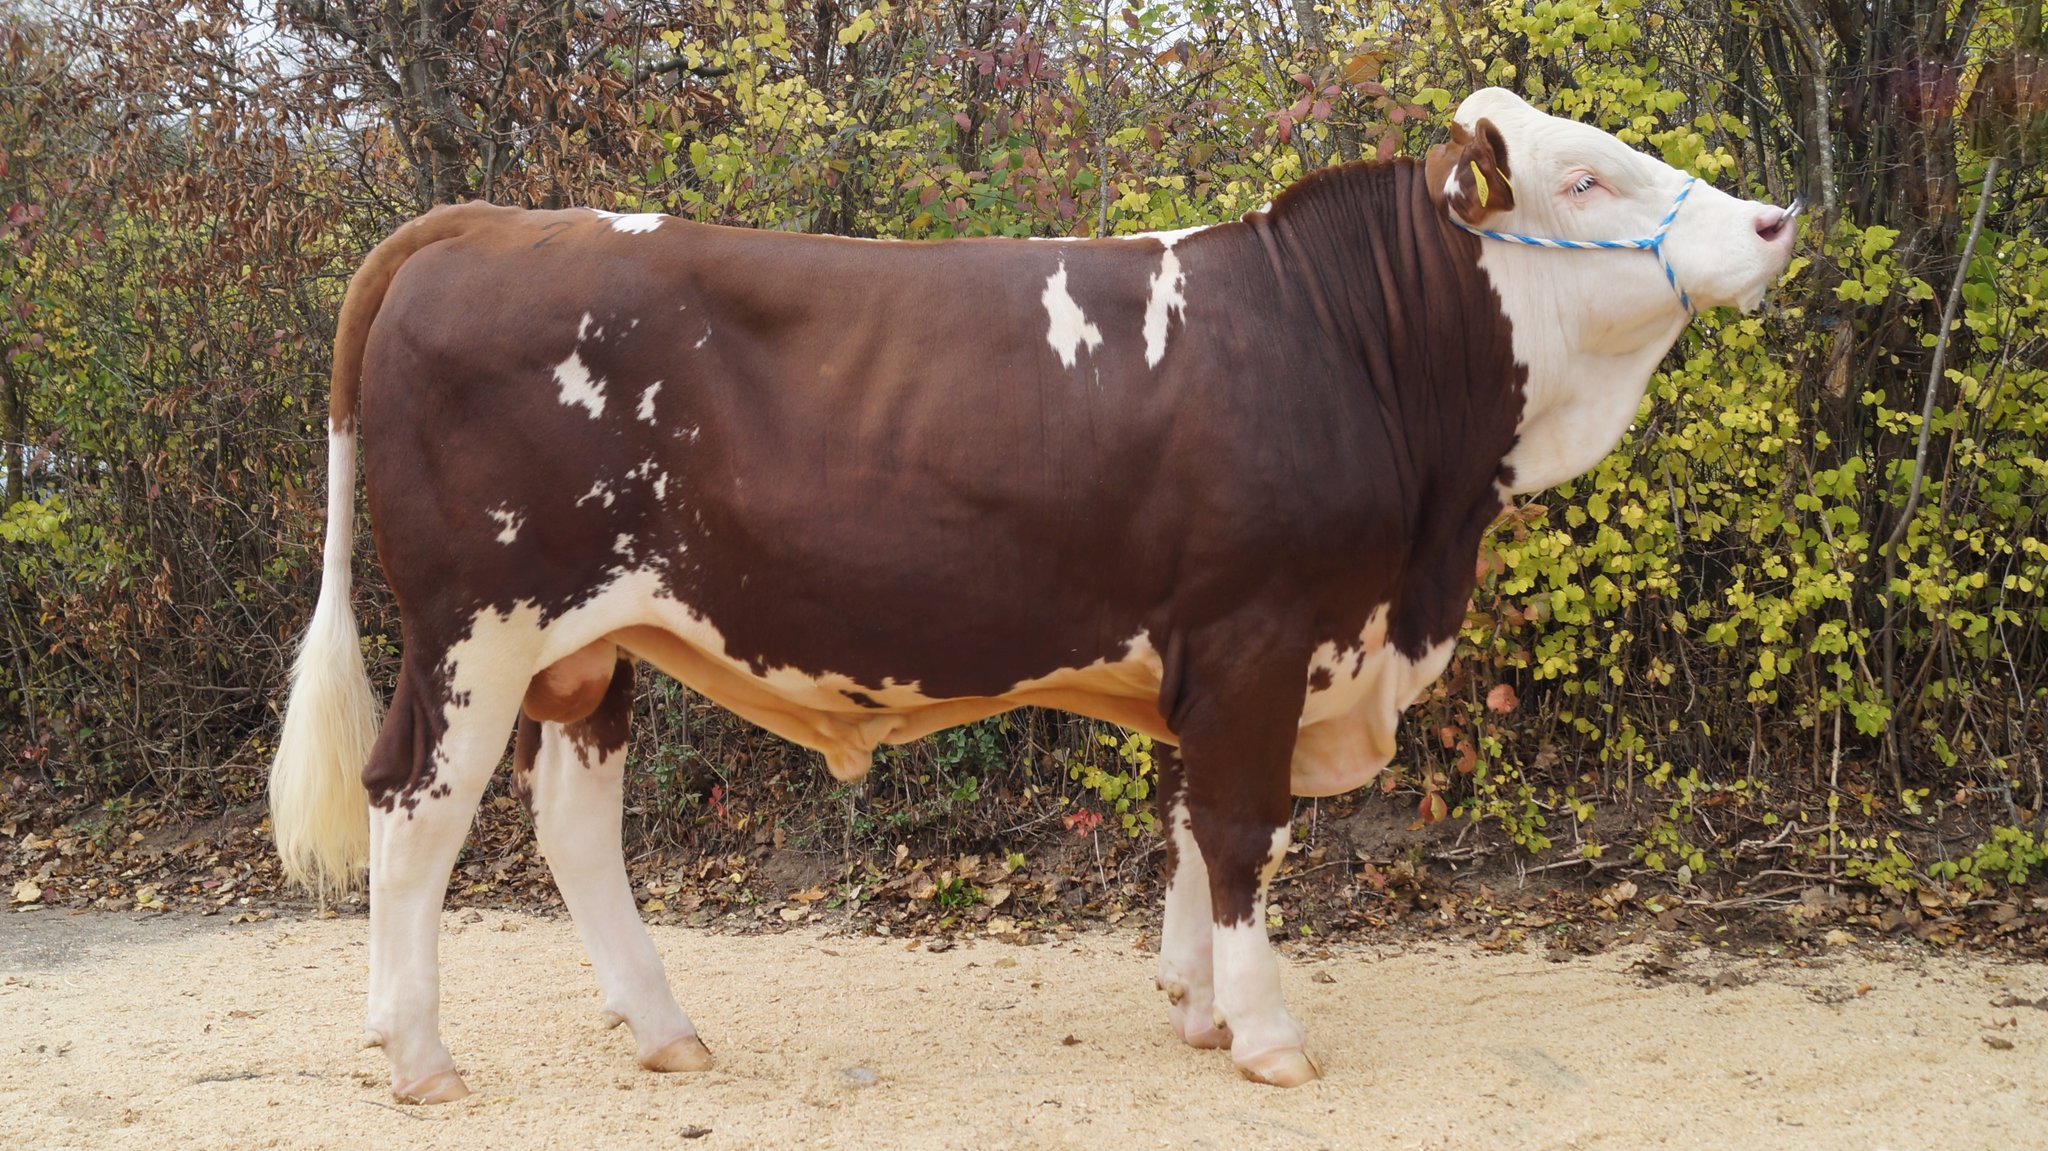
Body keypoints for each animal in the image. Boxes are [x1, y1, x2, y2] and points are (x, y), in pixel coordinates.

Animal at [268, 87, 1794, 1089]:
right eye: (1581, 180)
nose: (1777, 219)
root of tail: (490, 224)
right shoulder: (1258, 630)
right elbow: (1240, 829)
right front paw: (1265, 1032)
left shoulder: (1215, 652)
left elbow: (1189, 822)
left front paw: (1194, 1004)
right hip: (475, 624)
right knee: (416, 802)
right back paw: (416, 1050)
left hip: (591, 642)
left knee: (574, 820)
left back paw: (662, 1027)